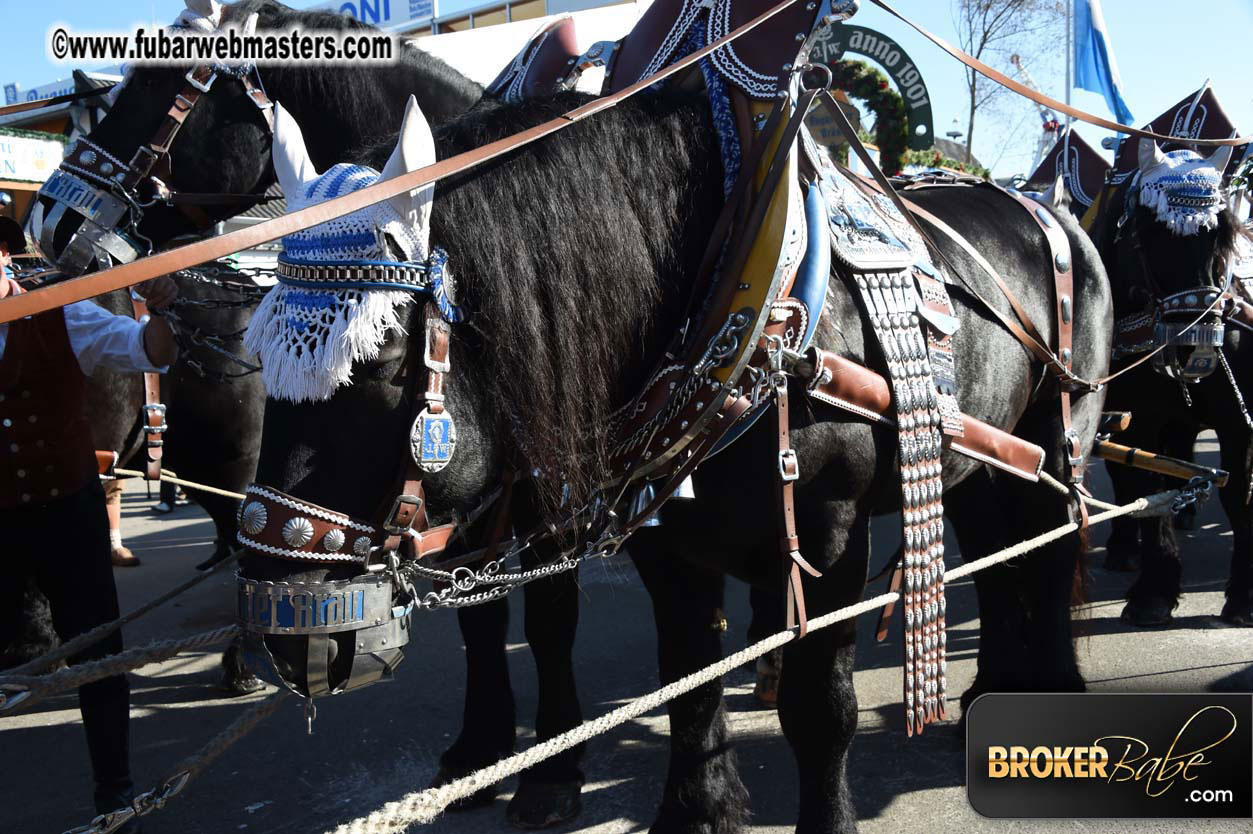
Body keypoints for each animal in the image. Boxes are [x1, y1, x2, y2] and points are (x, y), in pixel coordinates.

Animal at [239, 82, 1112, 826]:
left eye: (381, 359)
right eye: (257, 349)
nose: (285, 631)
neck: (740, 305)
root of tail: (1046, 210)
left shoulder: (829, 532)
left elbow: (818, 708)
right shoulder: (662, 539)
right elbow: (686, 677)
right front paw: (695, 810)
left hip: (1059, 433)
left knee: (1046, 547)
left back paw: (1051, 689)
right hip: (978, 457)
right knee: (996, 556)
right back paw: (985, 693)